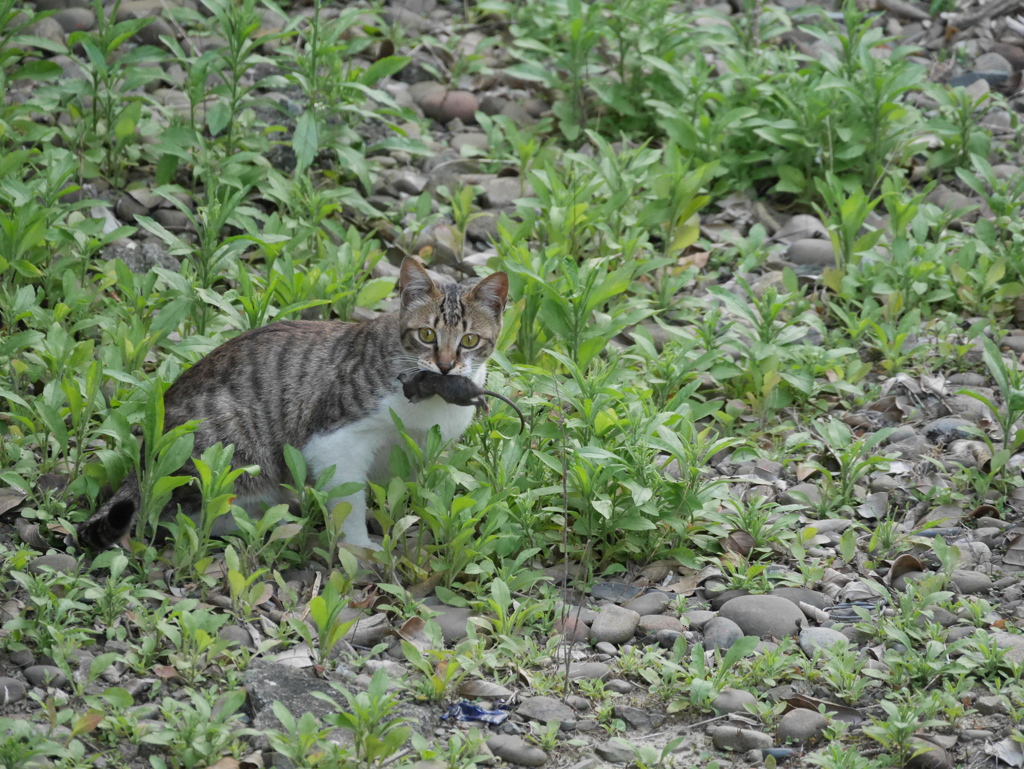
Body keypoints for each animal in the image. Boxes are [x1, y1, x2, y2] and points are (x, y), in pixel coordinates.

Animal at [77, 259, 509, 552]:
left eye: (470, 340)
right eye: (426, 335)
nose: (445, 366)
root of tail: (142, 461)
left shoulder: (419, 452)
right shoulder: (333, 442)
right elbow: (348, 498)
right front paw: (358, 546)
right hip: (225, 449)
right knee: (172, 515)